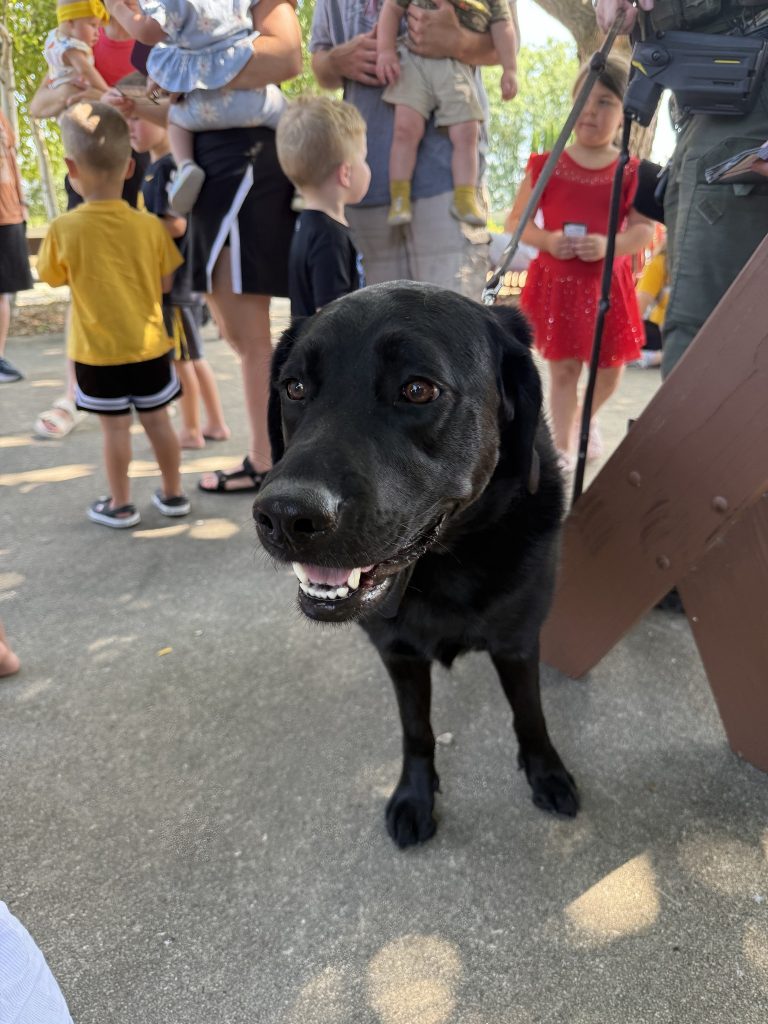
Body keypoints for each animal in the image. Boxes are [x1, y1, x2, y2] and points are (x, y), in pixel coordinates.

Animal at [253, 282, 579, 847]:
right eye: (294, 387)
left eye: (418, 390)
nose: (285, 516)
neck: (446, 563)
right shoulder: (399, 654)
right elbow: (416, 729)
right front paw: (415, 795)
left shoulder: (517, 642)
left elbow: (530, 714)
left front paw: (546, 772)